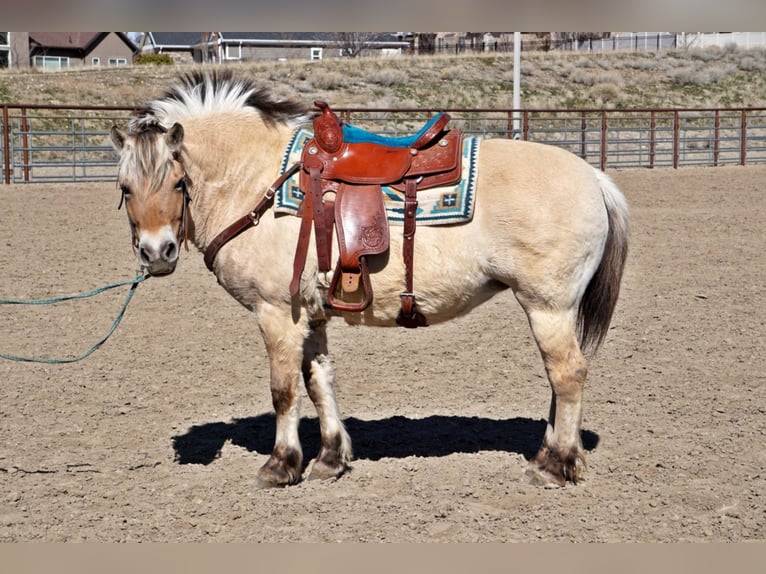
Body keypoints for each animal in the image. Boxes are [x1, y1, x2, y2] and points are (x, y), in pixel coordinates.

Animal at [112, 68, 632, 490]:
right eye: (125, 187)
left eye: (177, 182)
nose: (157, 253)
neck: (257, 178)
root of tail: (595, 178)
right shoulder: (311, 314)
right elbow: (319, 380)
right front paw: (329, 459)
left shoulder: (276, 312)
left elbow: (284, 390)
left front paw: (279, 465)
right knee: (560, 379)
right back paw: (555, 455)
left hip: (548, 306)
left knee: (567, 374)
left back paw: (553, 466)